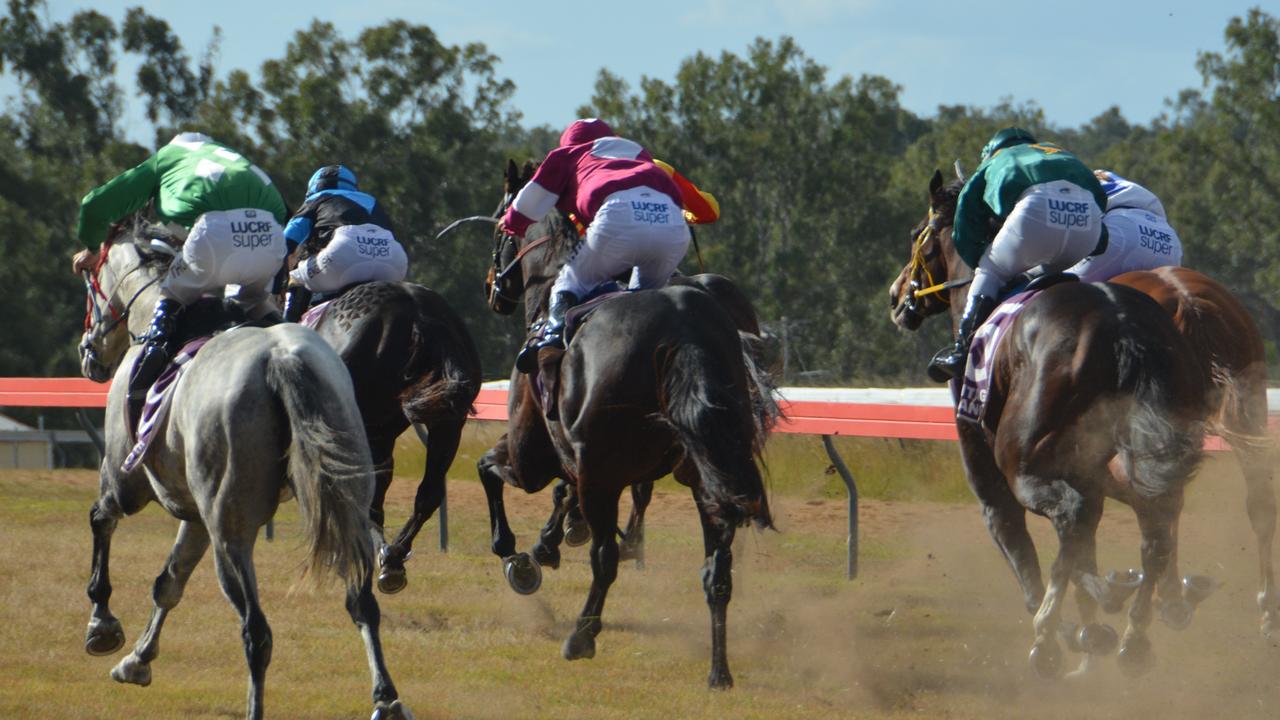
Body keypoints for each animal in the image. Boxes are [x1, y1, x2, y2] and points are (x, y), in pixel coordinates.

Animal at [77, 230, 414, 717]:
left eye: (91, 289)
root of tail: (281, 360)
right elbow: (169, 582)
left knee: (256, 631)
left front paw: (102, 624)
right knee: (361, 602)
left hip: (231, 534)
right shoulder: (197, 517)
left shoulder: (126, 484)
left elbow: (102, 521)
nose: (89, 355)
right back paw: (386, 697)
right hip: (344, 506)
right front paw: (138, 659)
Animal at [890, 170, 1208, 676]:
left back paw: (1054, 636)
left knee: (1073, 520)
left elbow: (1025, 558)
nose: (897, 296)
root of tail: (1124, 326)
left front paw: (1074, 627)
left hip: (1022, 463)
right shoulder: (1103, 472)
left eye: (918, 233)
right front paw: (1105, 613)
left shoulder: (991, 482)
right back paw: (1136, 633)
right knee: (1153, 524)